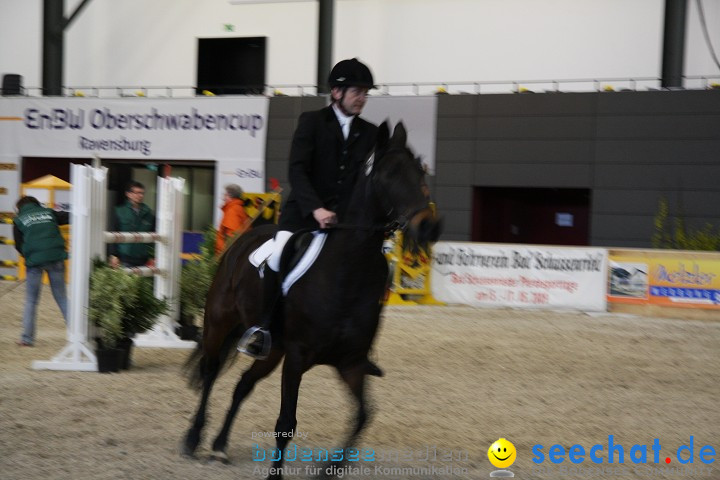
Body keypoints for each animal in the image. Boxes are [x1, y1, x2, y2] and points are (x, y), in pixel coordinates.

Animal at [183, 122, 442, 478]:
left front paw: (330, 467)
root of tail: (241, 241)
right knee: (210, 371)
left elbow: (363, 416)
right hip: (220, 323)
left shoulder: (351, 363)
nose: (429, 226)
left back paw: (220, 446)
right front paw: (275, 475)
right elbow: (285, 423)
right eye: (389, 174)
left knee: (242, 385)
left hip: (271, 351)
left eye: (420, 171)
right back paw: (193, 439)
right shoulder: (297, 358)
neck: (348, 271)